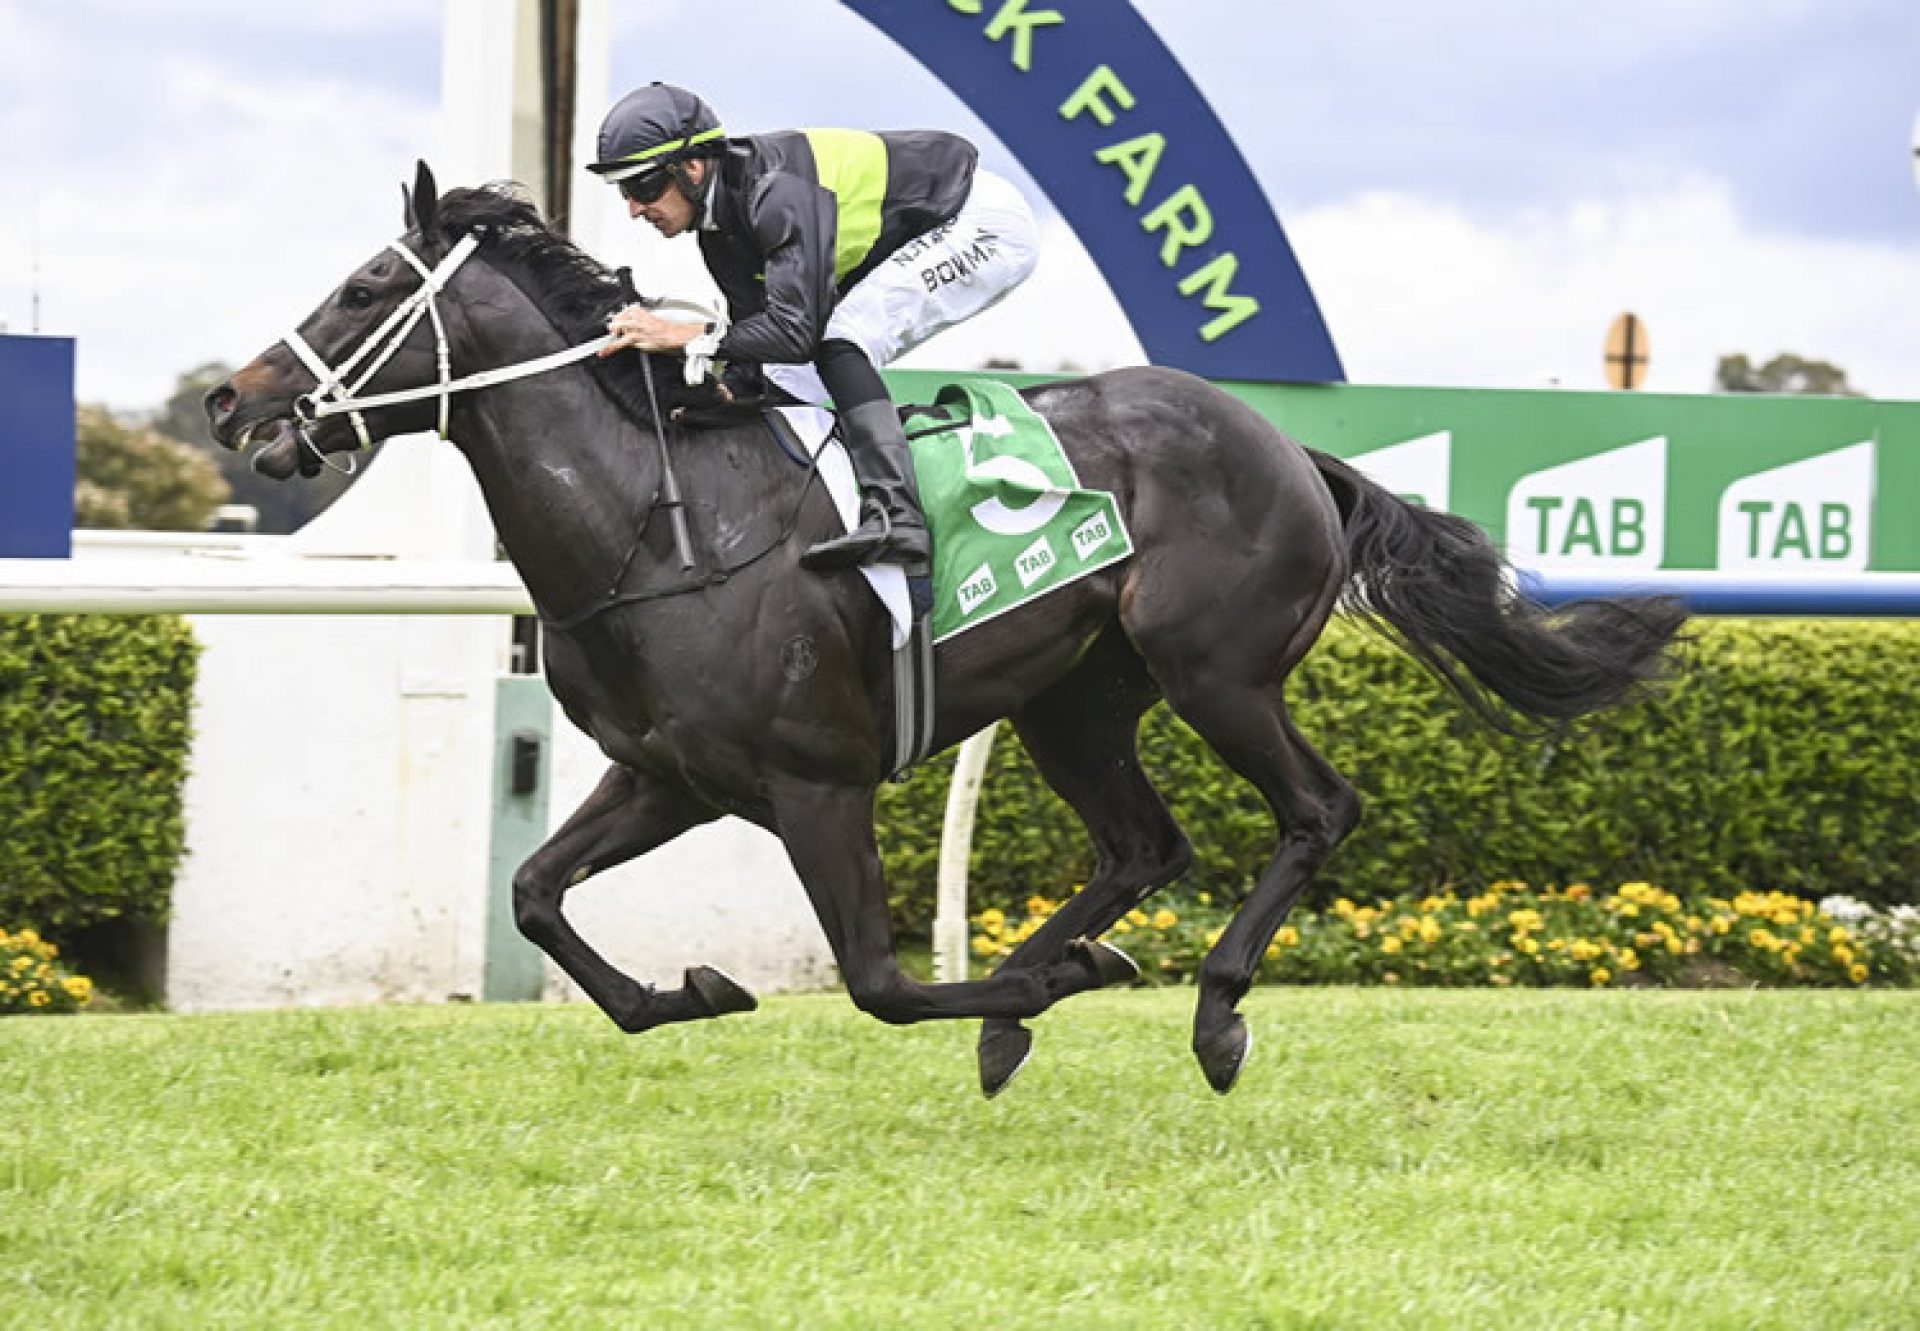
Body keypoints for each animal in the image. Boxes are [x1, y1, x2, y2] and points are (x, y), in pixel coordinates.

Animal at [202, 166, 1689, 1098]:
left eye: (361, 289)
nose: (228, 401)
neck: (657, 524)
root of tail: (1291, 448)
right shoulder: (672, 774)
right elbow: (534, 894)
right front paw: (698, 990)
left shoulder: (817, 782)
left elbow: (878, 980)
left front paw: (1036, 991)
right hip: (1073, 699)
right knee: (1145, 843)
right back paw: (1062, 966)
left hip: (1218, 672)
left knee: (1317, 809)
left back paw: (1208, 1007)